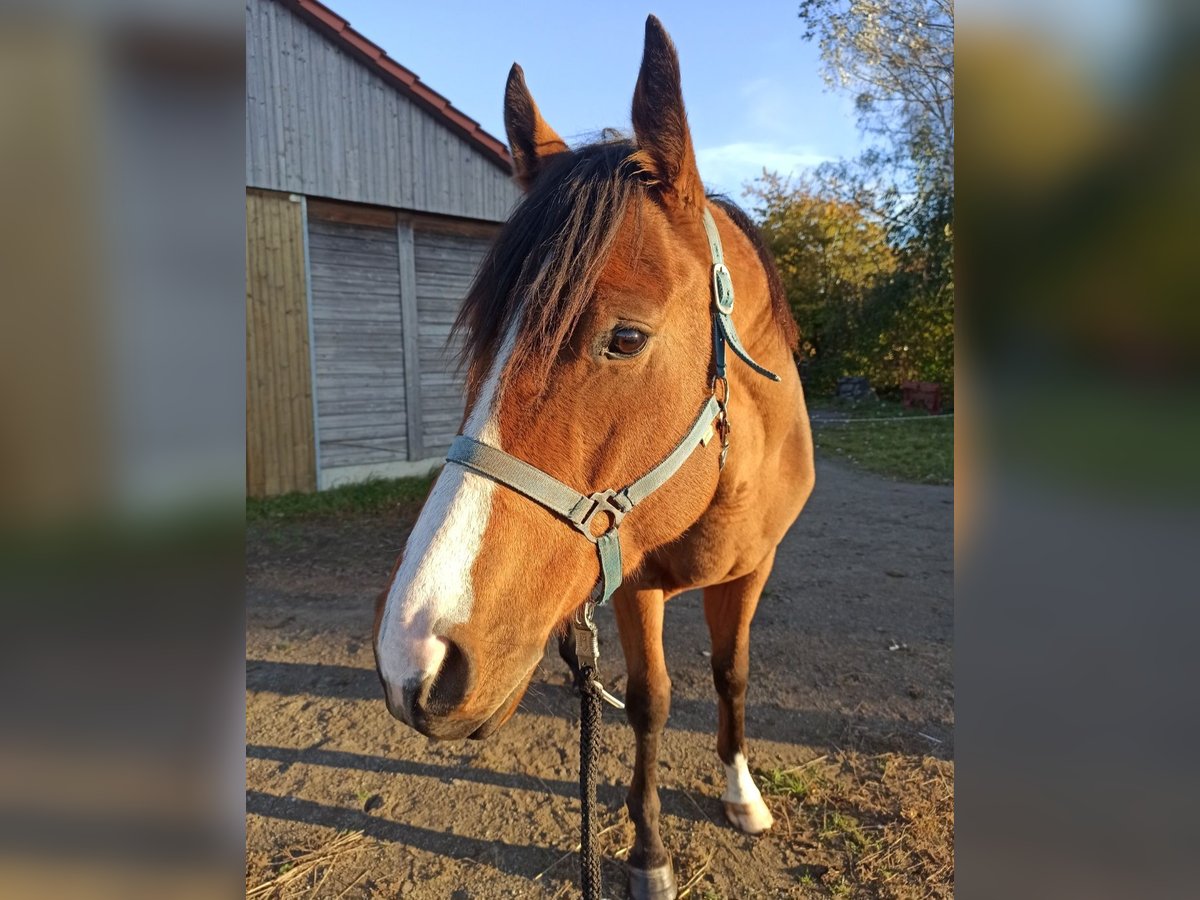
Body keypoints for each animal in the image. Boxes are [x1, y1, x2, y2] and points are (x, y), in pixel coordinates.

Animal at [369, 14, 811, 900]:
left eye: (626, 338)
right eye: (483, 336)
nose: (413, 661)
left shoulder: (755, 567)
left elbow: (732, 674)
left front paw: (743, 794)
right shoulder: (636, 582)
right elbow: (650, 702)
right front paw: (649, 853)